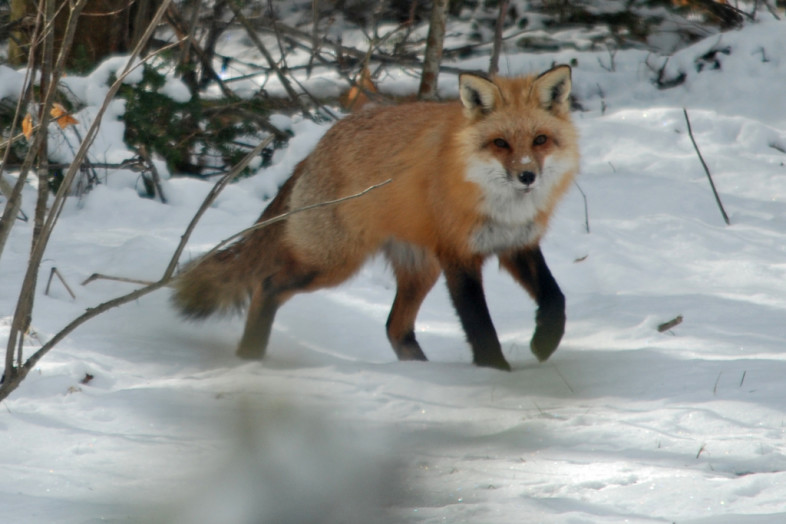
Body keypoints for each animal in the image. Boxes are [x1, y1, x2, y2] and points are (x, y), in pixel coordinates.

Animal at [172, 64, 580, 371]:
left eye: (540, 140)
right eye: (500, 143)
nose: (527, 176)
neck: (504, 207)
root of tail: (313, 151)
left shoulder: (516, 243)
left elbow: (555, 297)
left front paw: (545, 342)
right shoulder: (458, 255)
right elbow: (479, 325)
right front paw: (495, 372)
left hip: (419, 270)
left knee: (394, 328)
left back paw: (422, 374)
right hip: (332, 264)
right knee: (267, 285)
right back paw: (250, 358)